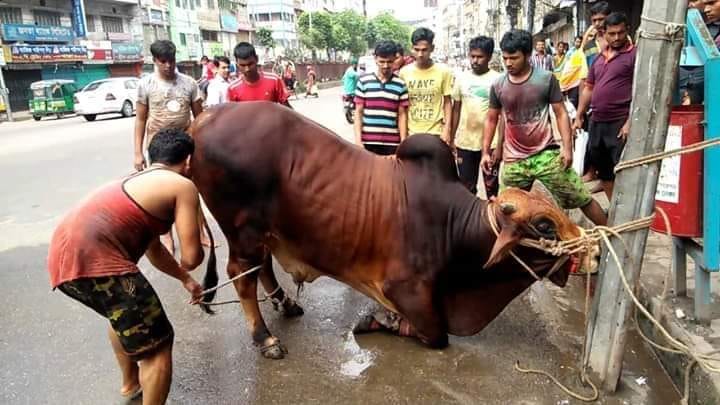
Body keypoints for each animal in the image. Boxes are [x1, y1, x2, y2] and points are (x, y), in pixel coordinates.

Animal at [188, 102, 588, 358]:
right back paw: (265, 339)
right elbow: (436, 334)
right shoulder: (405, 287)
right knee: (242, 275)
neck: (454, 228)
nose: (591, 249)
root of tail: (203, 119)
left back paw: (286, 305)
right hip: (242, 229)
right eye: (545, 225)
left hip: (262, 231)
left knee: (263, 267)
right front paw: (381, 320)